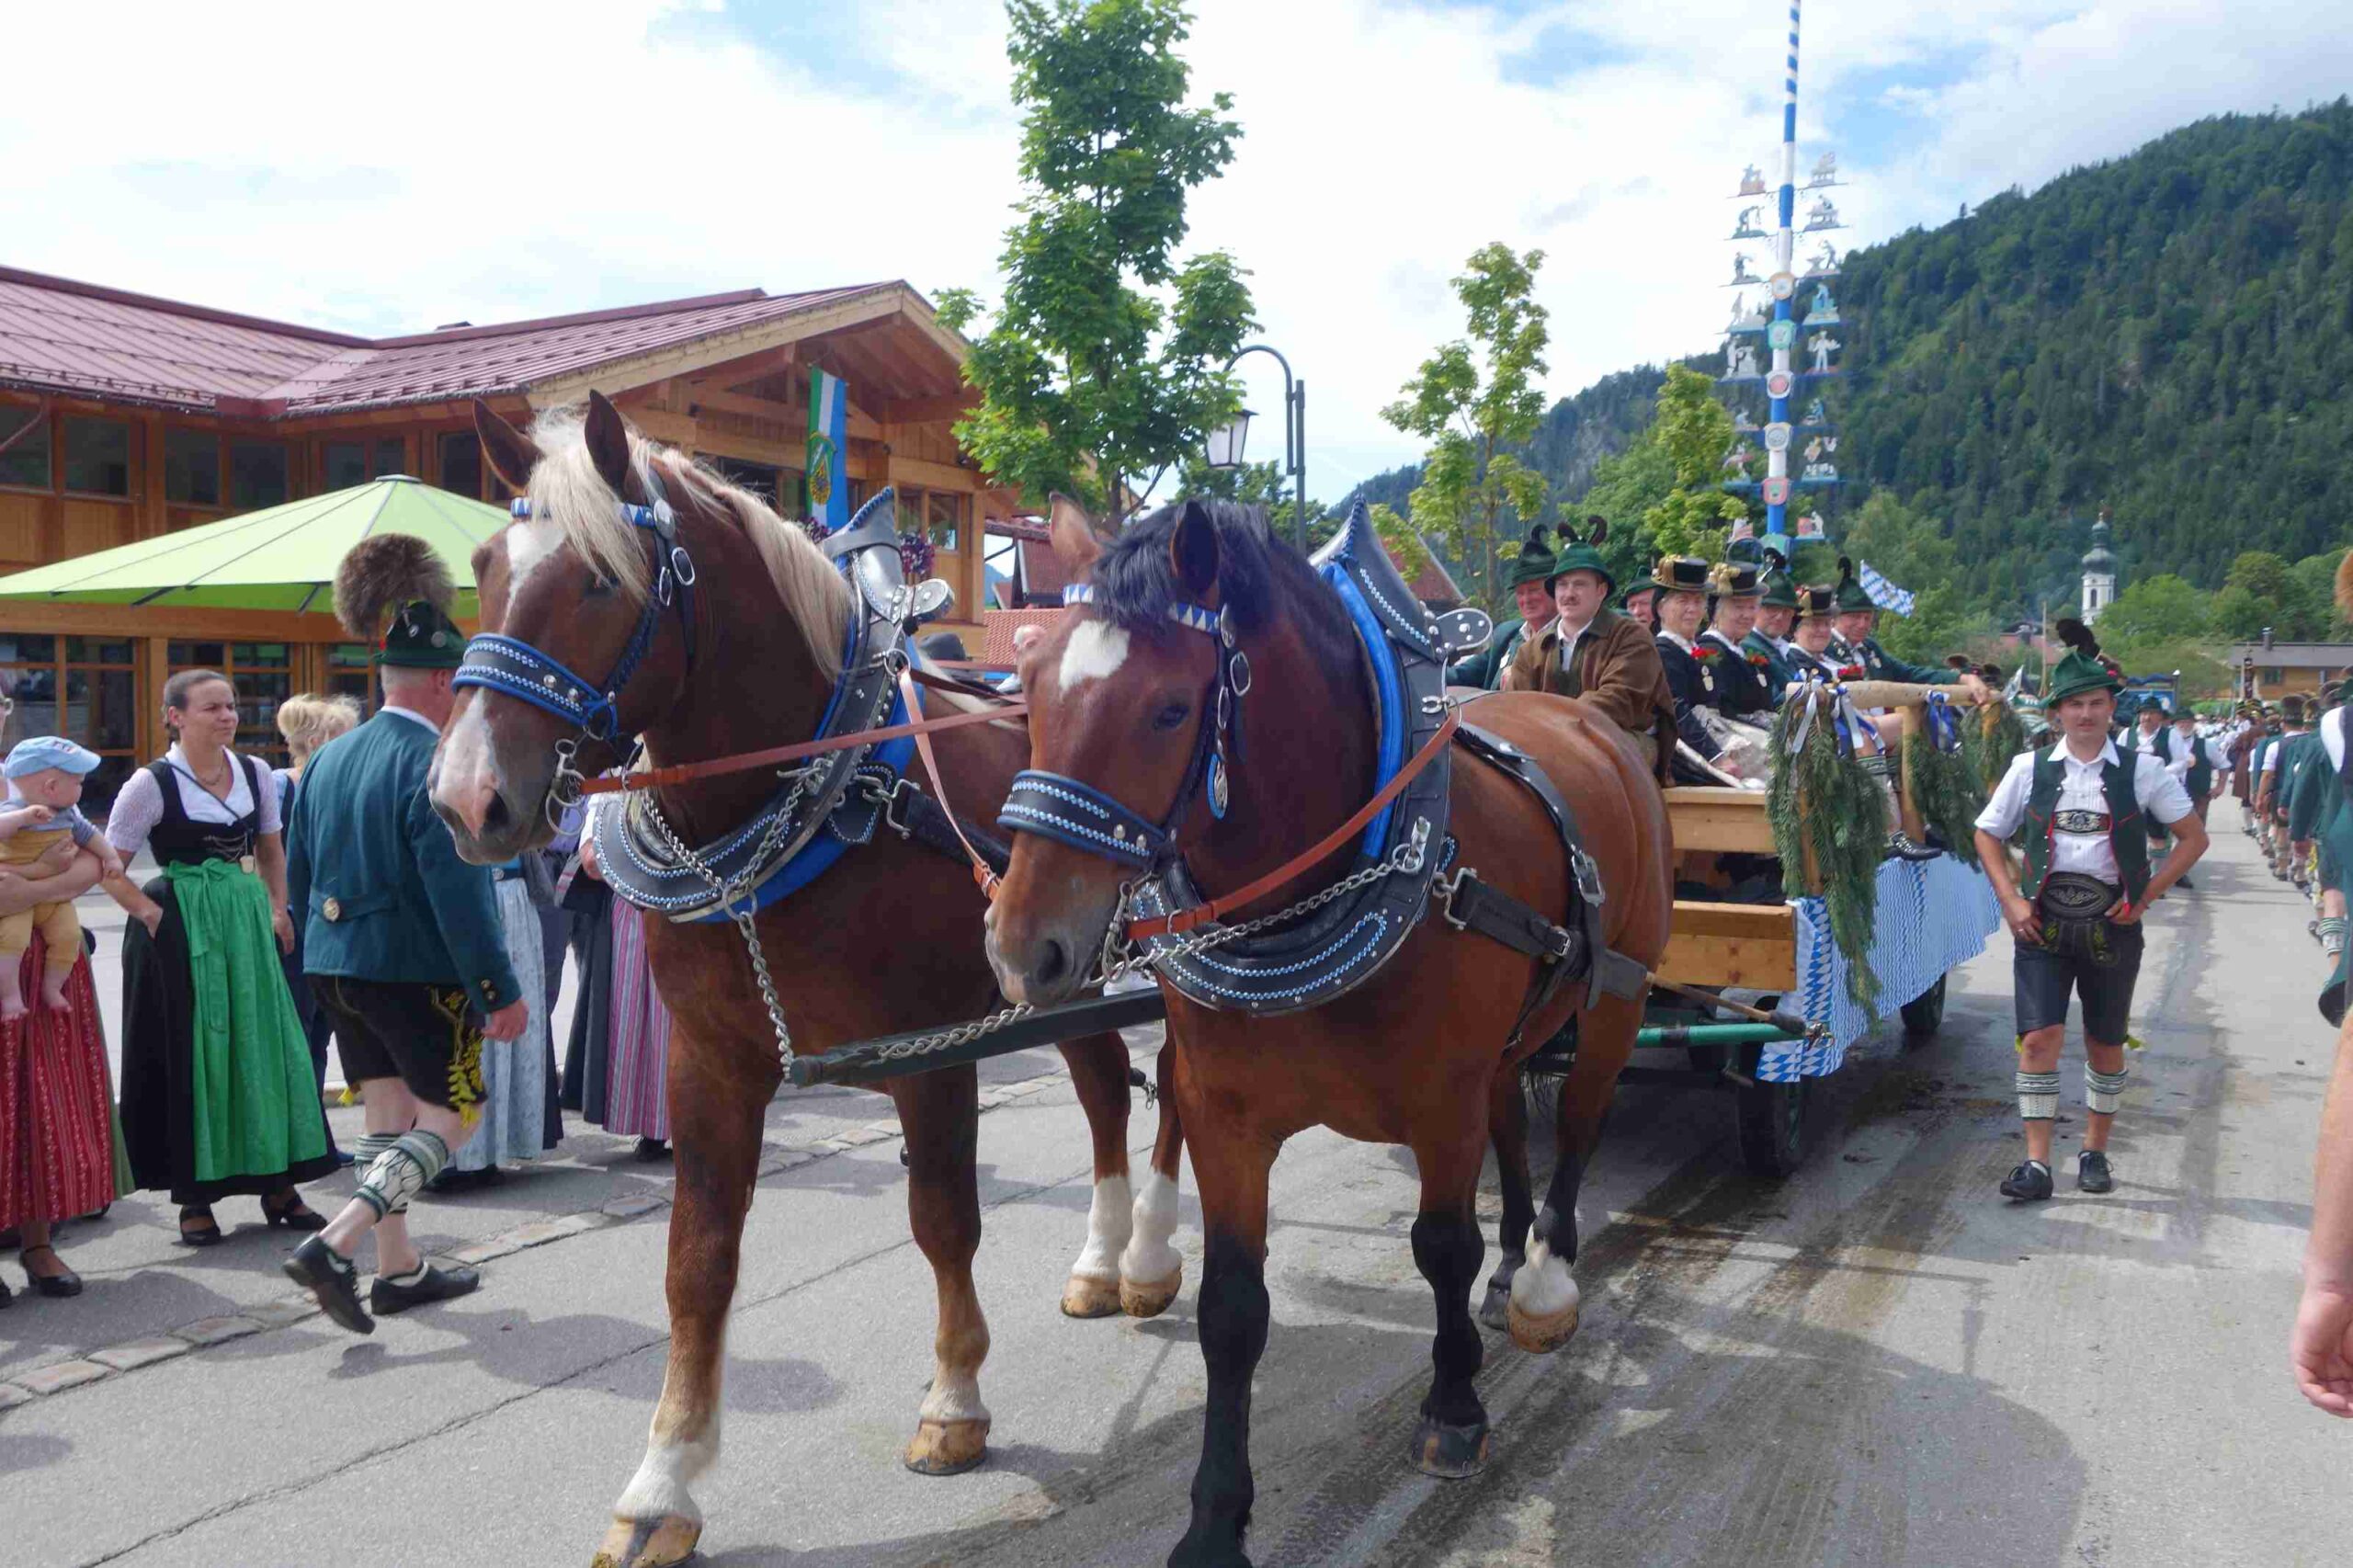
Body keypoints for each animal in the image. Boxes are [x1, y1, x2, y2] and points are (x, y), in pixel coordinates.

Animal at [428, 393, 1185, 1568]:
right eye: (484, 565)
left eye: (597, 580)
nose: (467, 799)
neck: (820, 797)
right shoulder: (709, 1061)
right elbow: (696, 1263)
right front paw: (661, 1483)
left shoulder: (933, 1055)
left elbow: (942, 1219)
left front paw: (952, 1401)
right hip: (1058, 973)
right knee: (1107, 1085)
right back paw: (1102, 1262)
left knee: (1177, 1096)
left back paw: (1149, 1254)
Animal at [985, 498, 1675, 1568]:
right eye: (1028, 693)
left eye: (1169, 709)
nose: (1024, 948)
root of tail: (1589, 720)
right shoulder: (1225, 1114)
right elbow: (1231, 1308)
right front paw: (1214, 1519)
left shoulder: (1438, 1103)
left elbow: (1440, 1247)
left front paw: (1454, 1404)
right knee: (1515, 1126)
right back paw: (1514, 1263)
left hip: (1614, 1000)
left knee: (1578, 1128)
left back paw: (1543, 1281)